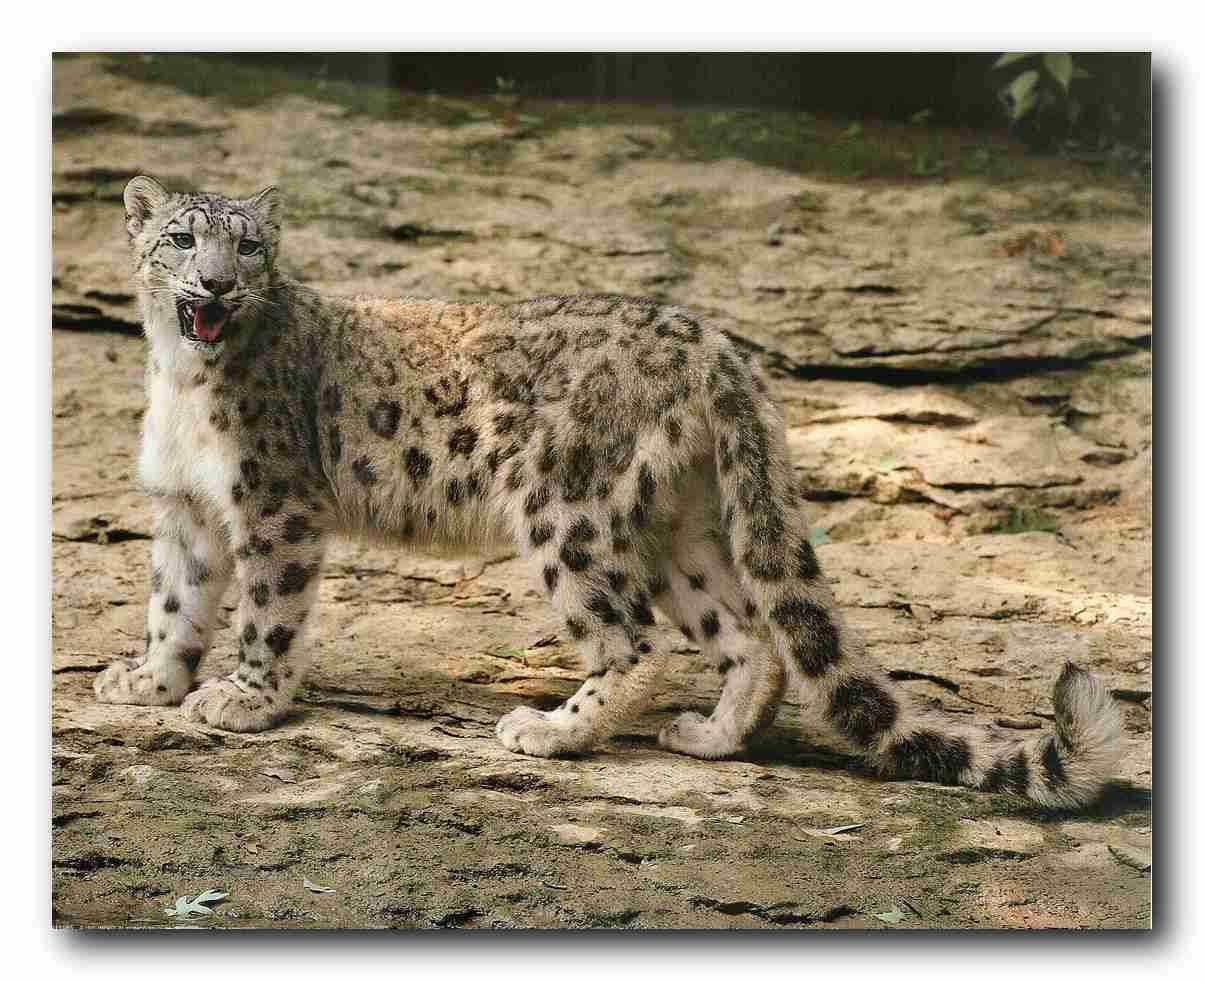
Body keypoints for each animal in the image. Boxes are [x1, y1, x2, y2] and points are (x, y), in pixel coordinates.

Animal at [93, 176, 1123, 809]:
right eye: (181, 238)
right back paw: (709, 737)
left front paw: (242, 700)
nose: (215, 285)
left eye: (250, 246)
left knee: (632, 638)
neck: (182, 379)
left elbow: (264, 612)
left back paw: (548, 731)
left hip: (569, 509)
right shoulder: (184, 512)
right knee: (746, 631)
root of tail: (717, 345)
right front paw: (146, 681)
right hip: (681, 526)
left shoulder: (275, 504)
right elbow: (174, 605)